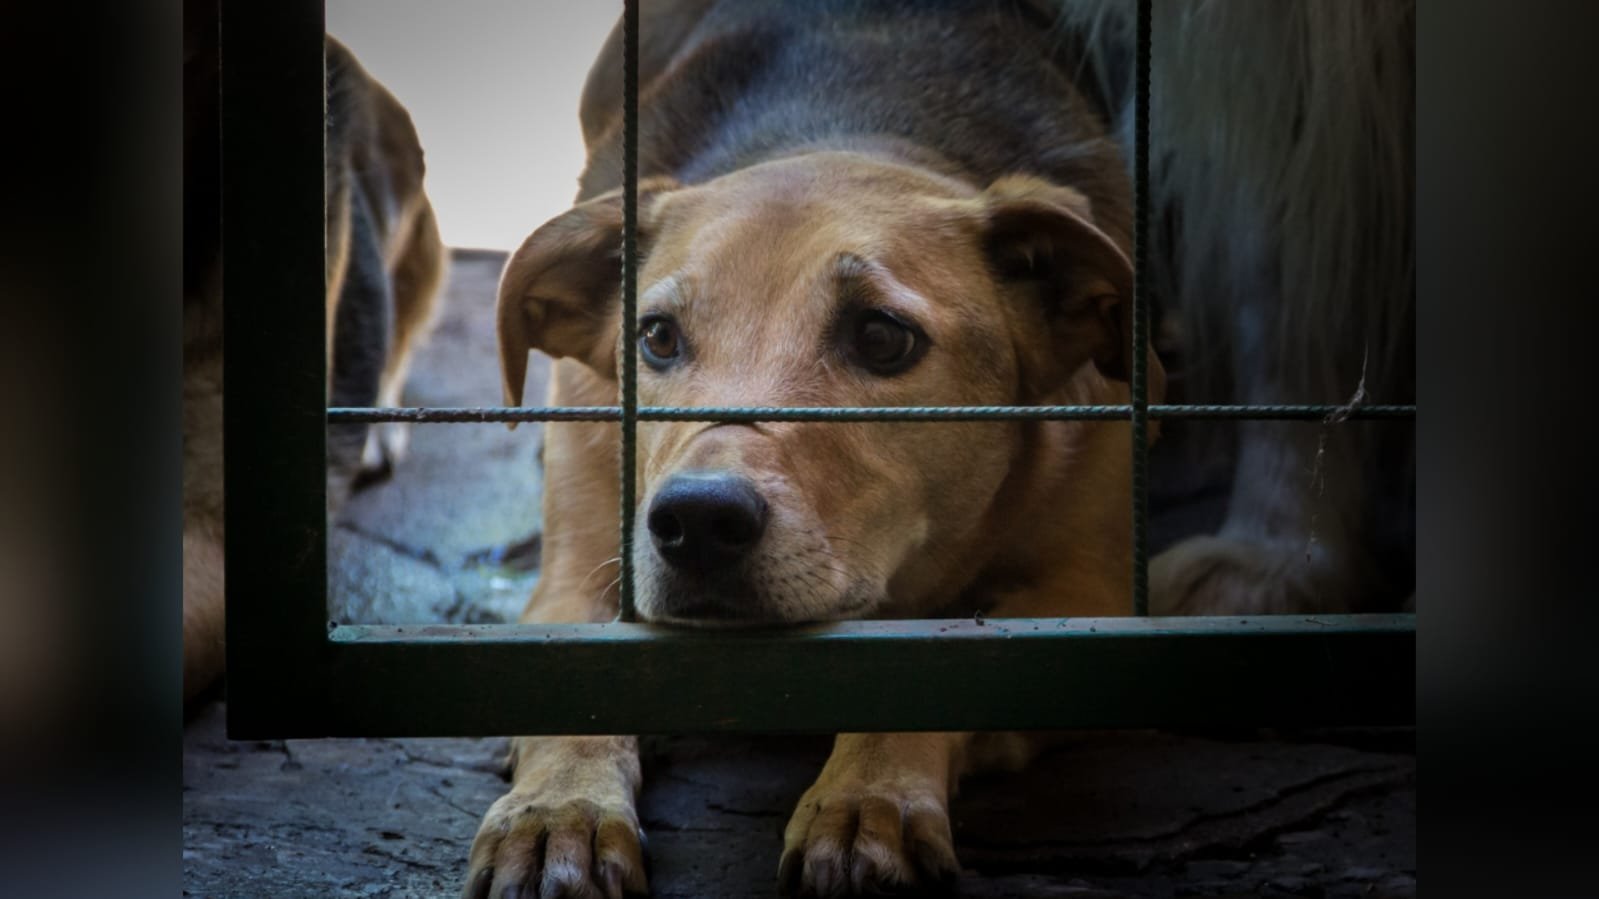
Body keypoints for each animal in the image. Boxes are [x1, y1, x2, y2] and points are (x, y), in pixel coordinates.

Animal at [466, 3, 1157, 889]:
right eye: (656, 337)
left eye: (881, 337)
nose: (696, 521)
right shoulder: (576, 572)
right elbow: (569, 689)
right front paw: (560, 810)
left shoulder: (1093, 601)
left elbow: (946, 662)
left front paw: (868, 795)